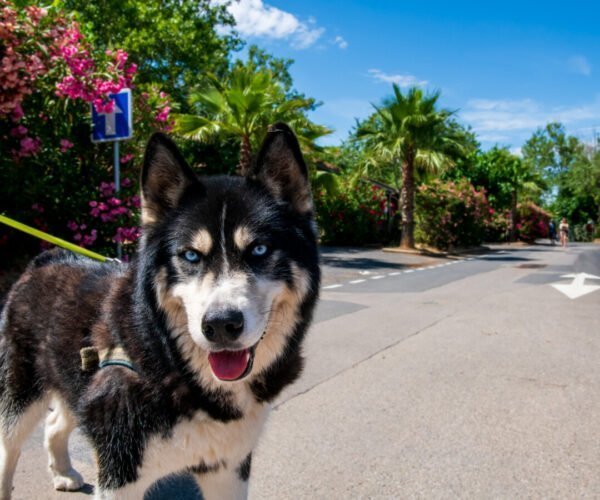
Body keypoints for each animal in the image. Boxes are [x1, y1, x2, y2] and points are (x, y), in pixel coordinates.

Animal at [0, 122, 318, 500]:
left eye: (259, 249)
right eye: (190, 255)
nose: (221, 325)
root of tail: (46, 258)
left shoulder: (228, 467)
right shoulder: (120, 473)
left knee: (54, 421)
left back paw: (63, 472)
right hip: (21, 390)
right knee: (8, 446)